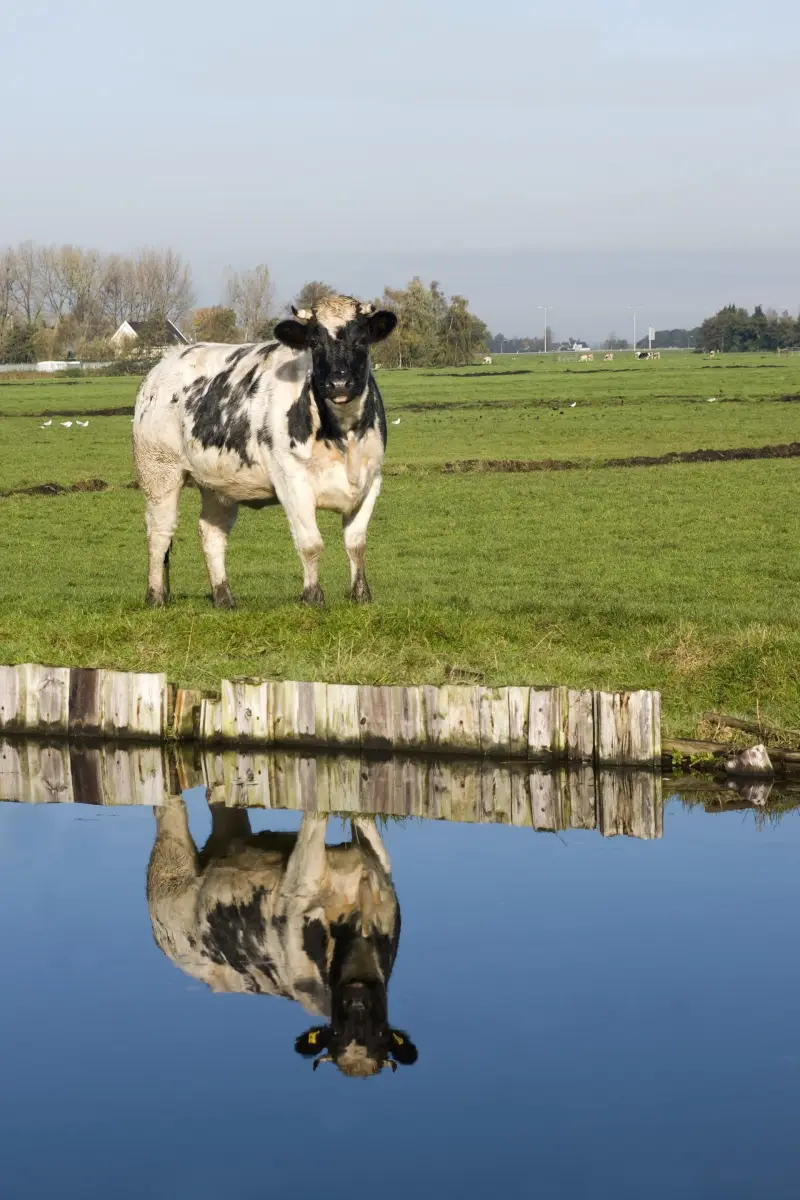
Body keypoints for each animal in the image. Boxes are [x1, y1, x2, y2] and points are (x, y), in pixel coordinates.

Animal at [132, 294, 398, 609]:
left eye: (362, 339)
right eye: (314, 342)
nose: (339, 383)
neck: (344, 436)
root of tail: (166, 362)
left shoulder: (372, 480)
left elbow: (356, 543)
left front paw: (361, 595)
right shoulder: (292, 481)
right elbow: (310, 543)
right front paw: (313, 597)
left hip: (218, 483)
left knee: (212, 533)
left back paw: (224, 597)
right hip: (159, 471)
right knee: (159, 532)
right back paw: (155, 596)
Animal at [147, 801, 418, 1079]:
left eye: (380, 1034)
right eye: (335, 1032)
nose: (356, 1001)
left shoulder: (383, 882)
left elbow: (365, 821)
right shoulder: (299, 884)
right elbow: (315, 819)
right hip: (168, 880)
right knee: (168, 817)